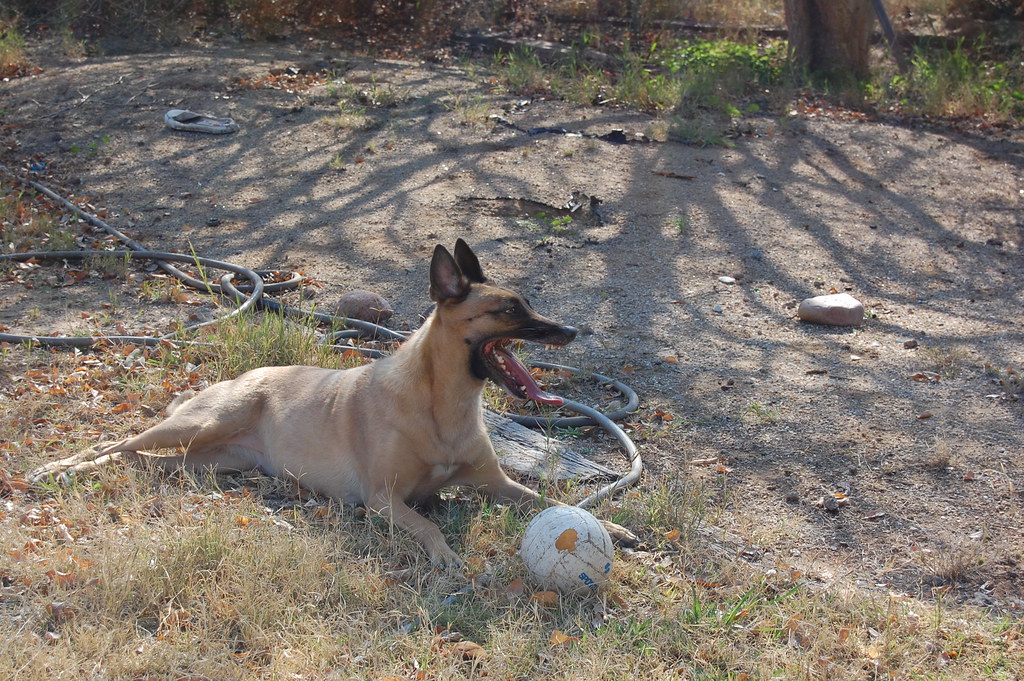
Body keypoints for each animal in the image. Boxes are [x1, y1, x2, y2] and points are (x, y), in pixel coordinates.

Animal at [32, 238, 634, 561]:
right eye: (508, 310)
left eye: (525, 304)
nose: (572, 332)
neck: (442, 403)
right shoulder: (383, 499)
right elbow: (431, 526)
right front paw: (445, 555)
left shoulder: (498, 484)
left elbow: (556, 502)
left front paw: (613, 529)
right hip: (204, 422)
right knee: (115, 444)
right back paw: (57, 468)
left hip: (210, 459)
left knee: (143, 459)